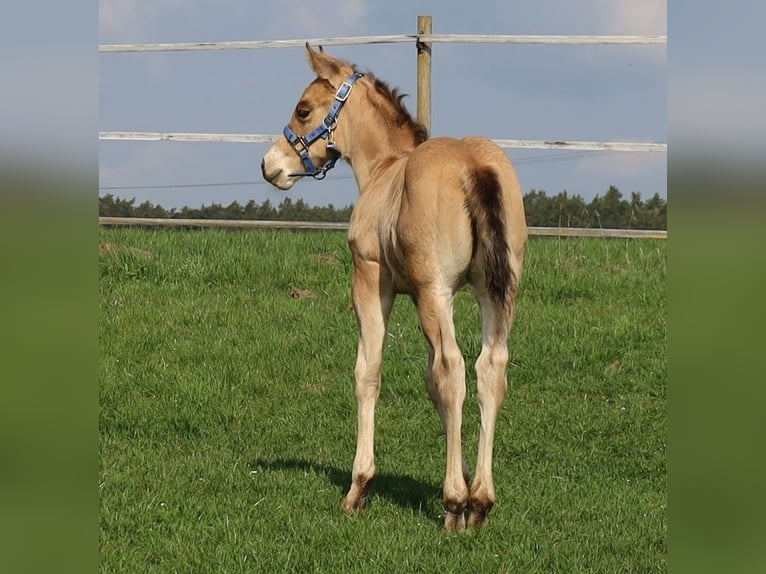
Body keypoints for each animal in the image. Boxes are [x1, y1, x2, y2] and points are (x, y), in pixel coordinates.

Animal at [261, 44, 527, 532]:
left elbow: (369, 372)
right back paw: (479, 500)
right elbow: (430, 383)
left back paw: (456, 503)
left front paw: (359, 486)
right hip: (497, 293)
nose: (269, 165)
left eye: (303, 109)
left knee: (453, 367)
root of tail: (473, 165)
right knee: (489, 368)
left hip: (433, 292)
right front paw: (460, 472)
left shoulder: (370, 279)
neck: (387, 171)